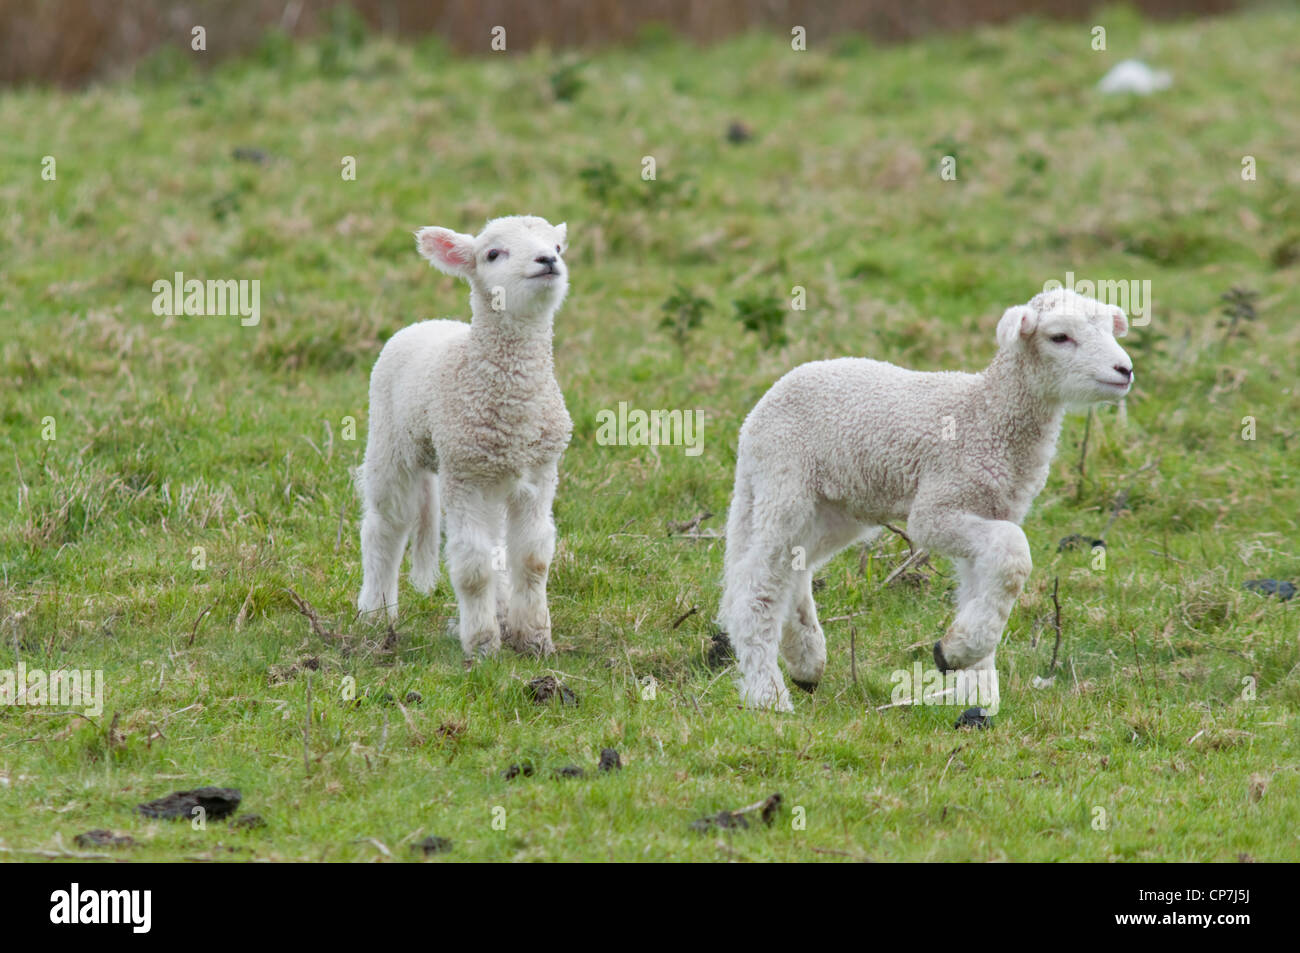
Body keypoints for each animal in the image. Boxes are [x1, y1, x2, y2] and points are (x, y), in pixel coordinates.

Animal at [358, 211, 577, 657]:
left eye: (557, 247)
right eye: (492, 254)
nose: (548, 260)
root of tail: (428, 322)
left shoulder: (540, 470)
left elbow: (533, 558)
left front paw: (535, 639)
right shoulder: (464, 471)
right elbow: (473, 566)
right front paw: (482, 645)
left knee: (497, 543)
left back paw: (503, 610)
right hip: (390, 443)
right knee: (385, 526)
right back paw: (375, 614)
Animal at [717, 286, 1133, 712]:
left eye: (1109, 329)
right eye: (1059, 337)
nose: (1125, 370)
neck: (985, 415)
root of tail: (755, 417)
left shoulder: (992, 509)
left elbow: (990, 579)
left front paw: (973, 680)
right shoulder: (940, 506)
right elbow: (1013, 553)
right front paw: (959, 660)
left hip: (834, 506)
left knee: (795, 566)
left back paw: (806, 659)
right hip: (785, 482)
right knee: (757, 585)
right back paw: (768, 694)